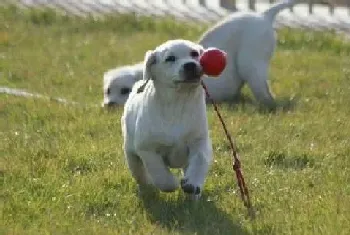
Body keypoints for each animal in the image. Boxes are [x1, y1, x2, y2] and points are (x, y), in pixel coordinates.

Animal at [103, 0, 296, 109]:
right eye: (107, 91)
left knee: (264, 92)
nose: (109, 105)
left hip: (251, 64)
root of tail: (264, 15)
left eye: (125, 91)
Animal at [120, 39, 213, 197]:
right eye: (170, 58)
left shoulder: (199, 141)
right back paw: (147, 189)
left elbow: (200, 159)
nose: (190, 65)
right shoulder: (147, 148)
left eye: (194, 54)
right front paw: (171, 183)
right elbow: (160, 174)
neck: (177, 102)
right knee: (140, 175)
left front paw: (192, 184)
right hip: (131, 154)